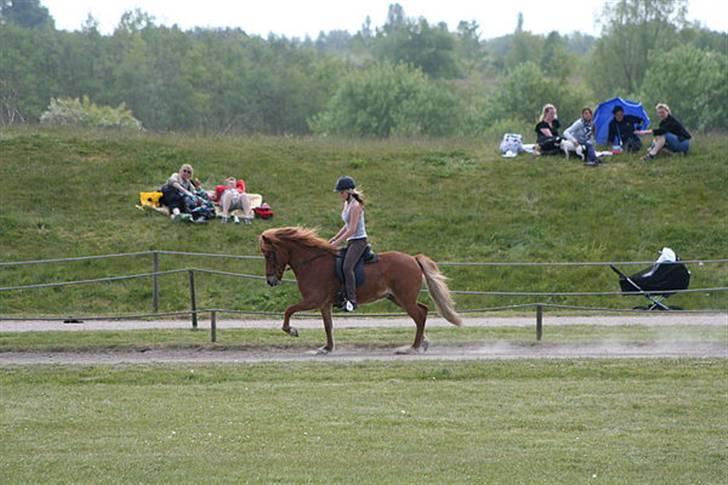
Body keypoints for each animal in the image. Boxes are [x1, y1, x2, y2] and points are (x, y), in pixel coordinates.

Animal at [258, 225, 460, 354]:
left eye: (268, 254)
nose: (270, 281)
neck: (312, 263)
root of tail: (413, 259)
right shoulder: (324, 304)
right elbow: (328, 326)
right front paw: (327, 348)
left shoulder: (313, 300)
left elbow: (289, 310)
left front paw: (291, 330)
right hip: (396, 297)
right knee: (423, 311)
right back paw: (423, 343)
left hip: (404, 298)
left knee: (419, 316)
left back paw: (413, 348)